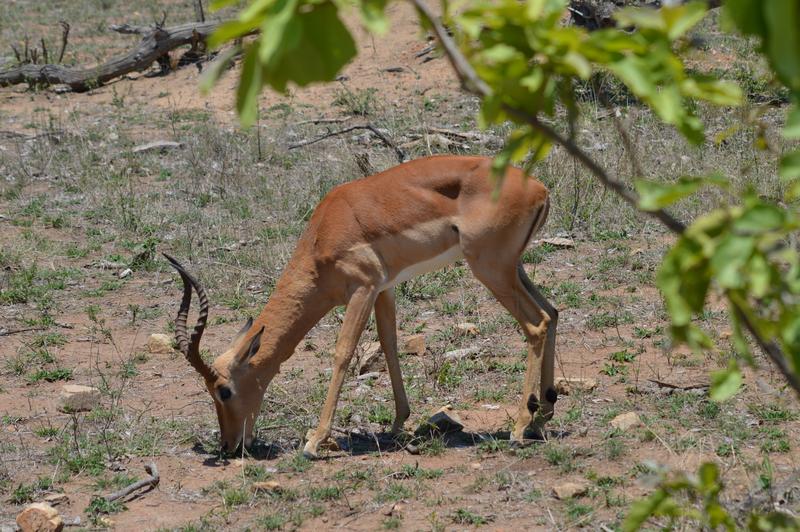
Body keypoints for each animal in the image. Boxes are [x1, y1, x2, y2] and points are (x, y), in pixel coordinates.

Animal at [164, 155, 556, 458]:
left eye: (224, 390)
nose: (229, 446)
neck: (325, 232)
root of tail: (539, 189)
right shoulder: (384, 289)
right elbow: (389, 345)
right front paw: (398, 423)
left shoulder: (362, 289)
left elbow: (342, 352)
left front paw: (315, 441)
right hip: (512, 269)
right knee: (552, 313)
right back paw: (543, 414)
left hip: (489, 269)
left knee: (535, 324)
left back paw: (519, 427)